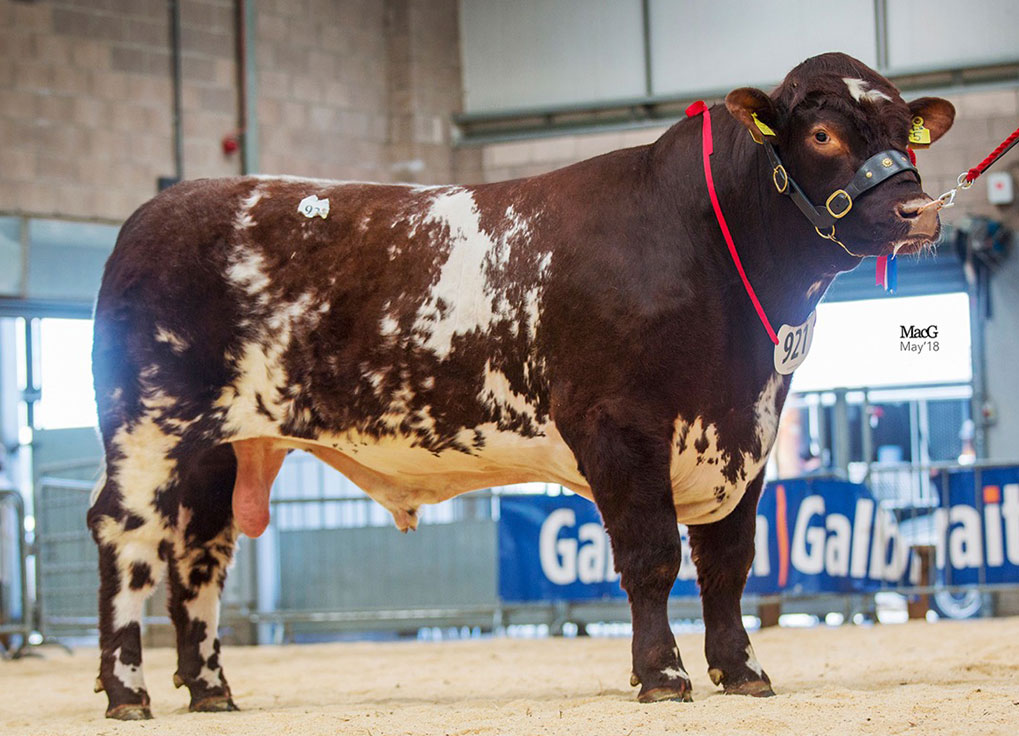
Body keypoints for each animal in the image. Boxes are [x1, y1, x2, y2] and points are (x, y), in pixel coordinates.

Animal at [88, 52, 954, 719]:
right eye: (822, 133)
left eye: (902, 131)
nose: (916, 209)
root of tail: (158, 210)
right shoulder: (619, 425)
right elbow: (651, 556)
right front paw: (662, 674)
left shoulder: (747, 434)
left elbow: (728, 562)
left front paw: (741, 671)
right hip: (147, 427)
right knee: (125, 538)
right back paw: (128, 690)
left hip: (220, 445)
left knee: (199, 557)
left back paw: (209, 689)